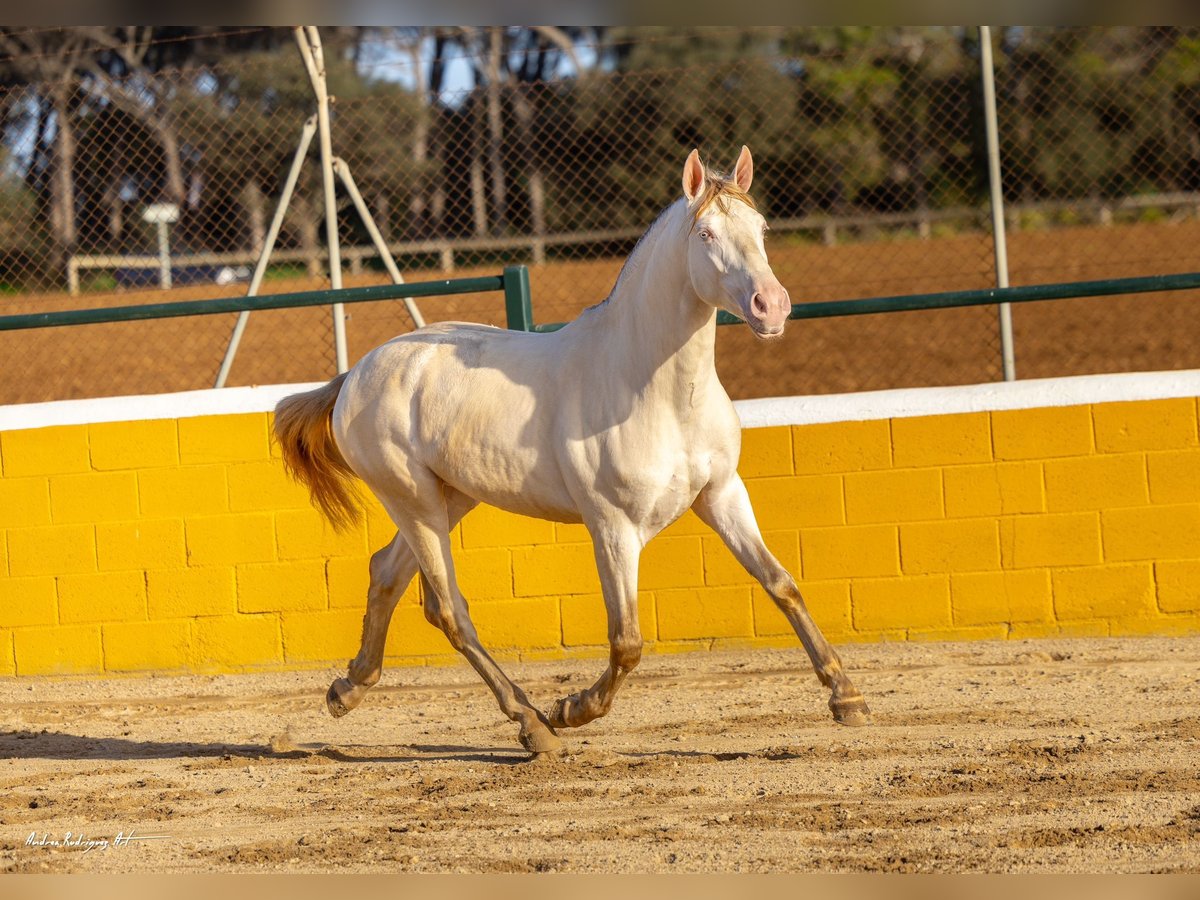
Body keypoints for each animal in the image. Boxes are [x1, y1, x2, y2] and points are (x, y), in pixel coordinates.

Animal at [273, 146, 873, 753]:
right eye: (705, 233)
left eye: (762, 227)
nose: (771, 307)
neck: (651, 388)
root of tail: (357, 373)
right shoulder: (613, 526)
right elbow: (627, 641)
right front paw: (571, 708)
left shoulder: (722, 495)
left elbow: (782, 584)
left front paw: (847, 699)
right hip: (412, 499)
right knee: (449, 609)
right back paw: (534, 724)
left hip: (450, 496)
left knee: (388, 574)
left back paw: (347, 689)